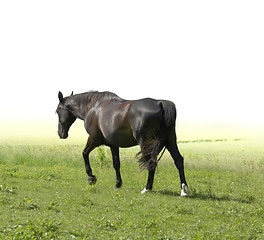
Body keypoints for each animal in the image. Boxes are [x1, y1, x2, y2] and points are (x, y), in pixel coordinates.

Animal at [55, 91, 189, 196]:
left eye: (58, 110)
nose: (60, 133)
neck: (93, 107)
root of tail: (160, 103)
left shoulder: (94, 139)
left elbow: (84, 153)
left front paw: (91, 178)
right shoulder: (113, 145)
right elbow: (116, 164)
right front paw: (118, 184)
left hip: (146, 143)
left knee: (151, 162)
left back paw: (147, 188)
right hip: (170, 141)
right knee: (178, 160)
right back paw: (184, 190)